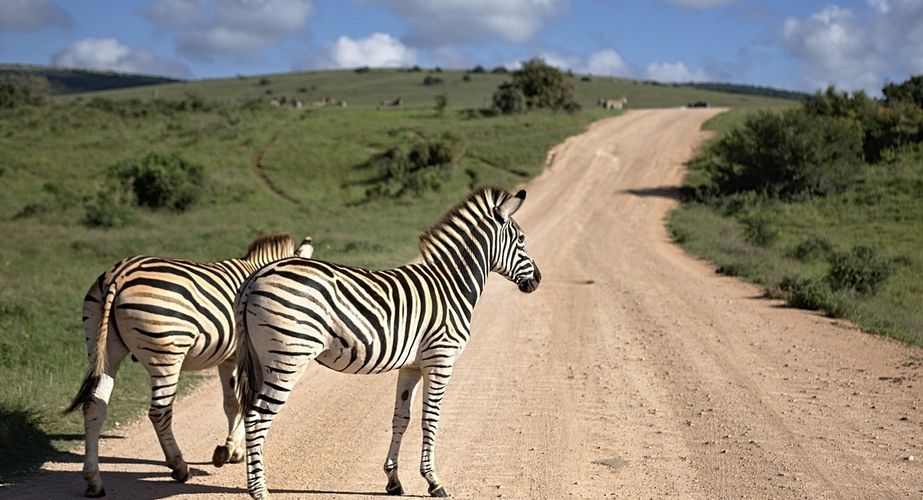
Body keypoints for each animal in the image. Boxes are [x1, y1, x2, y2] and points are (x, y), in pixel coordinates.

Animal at [65, 233, 314, 498]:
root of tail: (119, 274)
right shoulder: (244, 356)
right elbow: (244, 403)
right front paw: (230, 449)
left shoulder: (229, 358)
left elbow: (232, 403)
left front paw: (231, 450)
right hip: (166, 353)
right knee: (159, 412)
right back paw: (179, 466)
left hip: (103, 347)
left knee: (94, 406)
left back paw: (94, 480)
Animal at [234, 187, 541, 499]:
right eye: (521, 239)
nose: (538, 280)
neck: (451, 285)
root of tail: (255, 278)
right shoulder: (440, 359)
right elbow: (430, 418)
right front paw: (434, 481)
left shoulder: (412, 366)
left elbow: (401, 418)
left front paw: (393, 480)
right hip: (288, 357)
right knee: (257, 418)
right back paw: (260, 491)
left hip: (261, 359)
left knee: (249, 413)